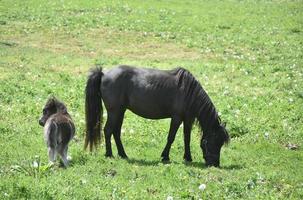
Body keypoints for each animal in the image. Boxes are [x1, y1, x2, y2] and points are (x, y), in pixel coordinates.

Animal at [84, 65, 229, 167]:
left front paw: (188, 157)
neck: (188, 91)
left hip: (120, 111)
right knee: (108, 130)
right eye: (215, 141)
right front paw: (165, 156)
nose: (215, 164)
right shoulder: (176, 118)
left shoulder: (188, 119)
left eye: (221, 143)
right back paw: (109, 154)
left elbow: (186, 138)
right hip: (114, 111)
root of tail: (104, 74)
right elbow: (171, 137)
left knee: (116, 132)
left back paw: (123, 154)